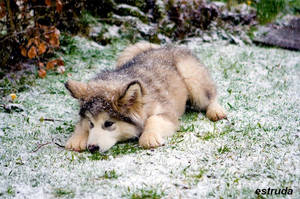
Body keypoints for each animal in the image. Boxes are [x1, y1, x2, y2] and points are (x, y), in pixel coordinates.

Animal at [65, 41, 225, 152]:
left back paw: (216, 111)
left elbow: (153, 119)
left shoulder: (168, 113)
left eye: (108, 123)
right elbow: (81, 124)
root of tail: (162, 47)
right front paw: (77, 138)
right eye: (91, 123)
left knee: (211, 95)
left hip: (192, 80)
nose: (92, 148)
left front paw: (149, 137)